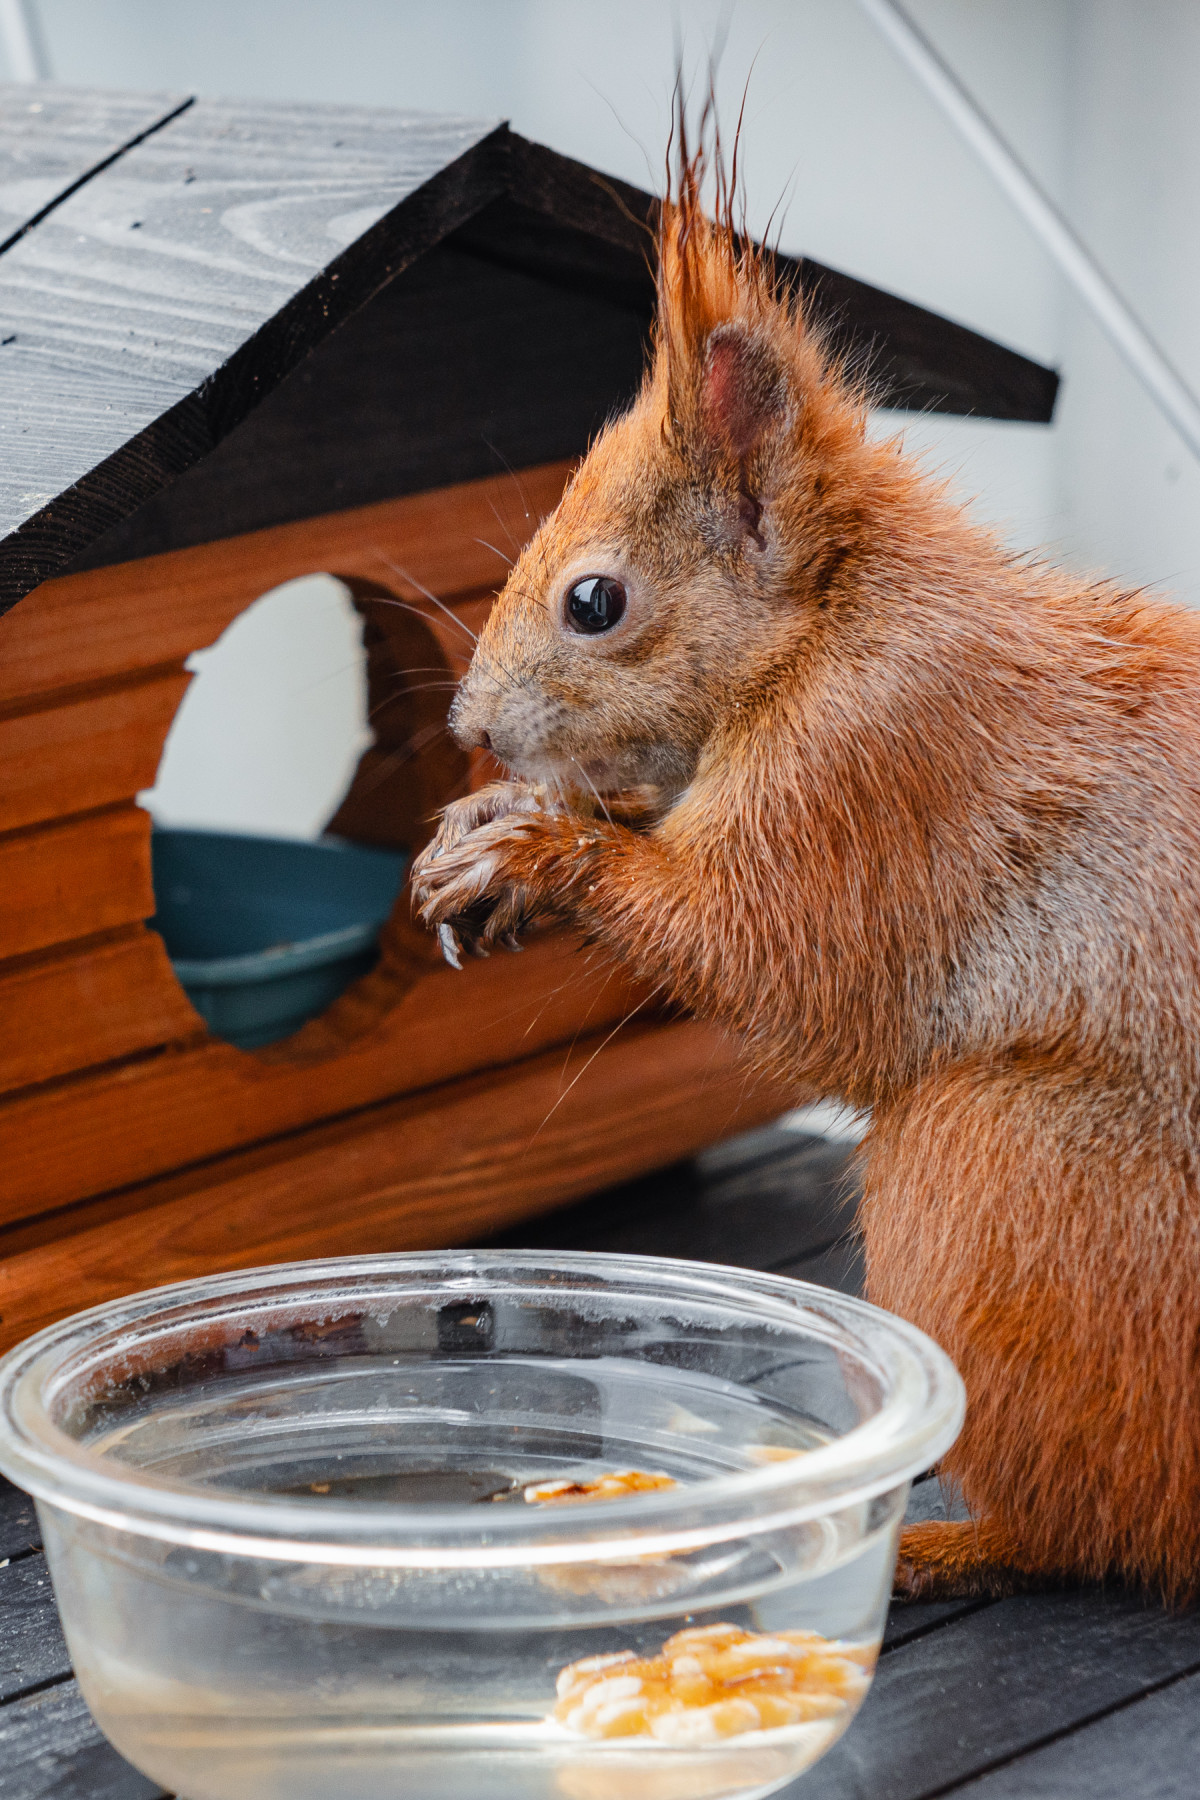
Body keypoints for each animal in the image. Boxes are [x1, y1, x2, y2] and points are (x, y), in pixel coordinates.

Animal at [410, 147, 1200, 1598]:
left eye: (594, 602)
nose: (468, 724)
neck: (833, 623)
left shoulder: (876, 769)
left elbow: (784, 965)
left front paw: (536, 845)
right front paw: (493, 824)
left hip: (1011, 1175)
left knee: (1099, 1527)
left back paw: (957, 1542)